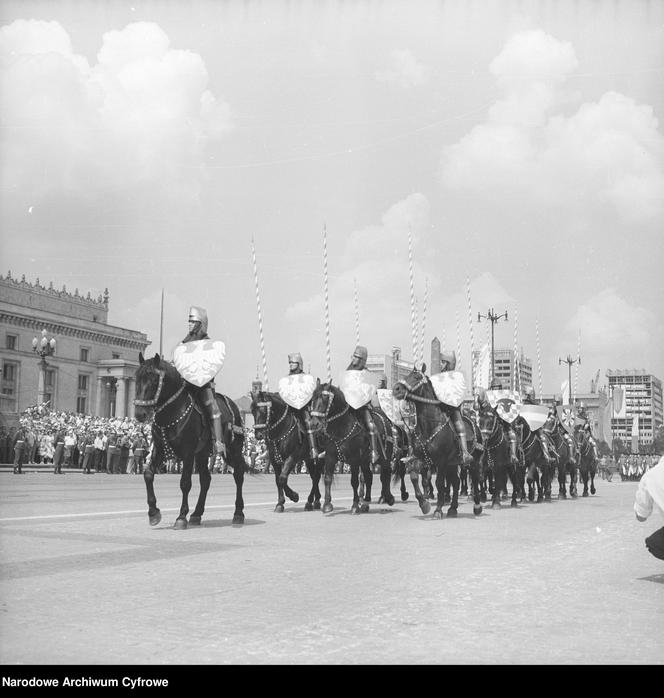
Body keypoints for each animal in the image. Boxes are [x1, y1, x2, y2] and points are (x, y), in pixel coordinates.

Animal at [132, 354, 246, 528]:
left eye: (154, 380)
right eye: (137, 378)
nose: (140, 414)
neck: (171, 413)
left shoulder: (188, 453)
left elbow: (185, 483)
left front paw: (181, 517)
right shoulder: (159, 450)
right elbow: (148, 474)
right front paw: (153, 513)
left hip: (232, 450)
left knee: (238, 474)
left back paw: (238, 514)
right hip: (203, 454)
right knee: (206, 480)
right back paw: (197, 514)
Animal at [306, 378, 394, 512]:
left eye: (325, 397)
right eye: (313, 398)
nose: (314, 423)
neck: (341, 427)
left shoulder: (354, 459)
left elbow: (354, 481)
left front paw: (354, 505)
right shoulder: (330, 457)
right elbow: (327, 479)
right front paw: (327, 504)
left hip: (384, 457)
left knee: (386, 474)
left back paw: (388, 498)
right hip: (365, 461)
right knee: (369, 476)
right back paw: (366, 502)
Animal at [390, 368, 482, 512]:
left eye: (416, 377)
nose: (396, 389)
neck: (429, 425)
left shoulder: (441, 461)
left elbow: (439, 483)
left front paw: (438, 510)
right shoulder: (420, 458)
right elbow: (415, 477)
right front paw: (424, 504)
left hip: (474, 461)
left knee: (476, 477)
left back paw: (477, 505)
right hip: (453, 463)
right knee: (456, 481)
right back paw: (452, 508)